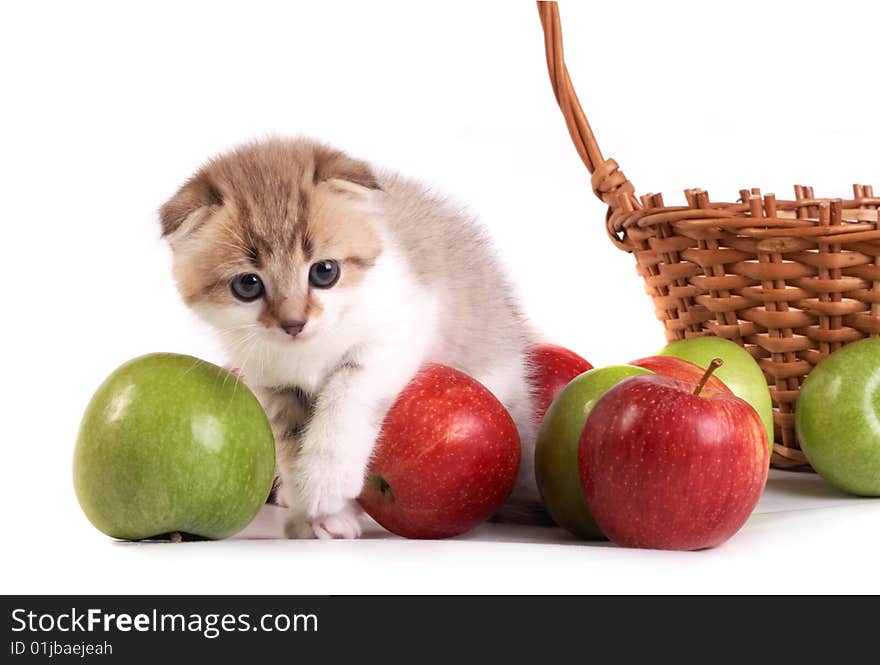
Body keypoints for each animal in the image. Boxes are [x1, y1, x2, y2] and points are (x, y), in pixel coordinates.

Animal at [161, 137, 540, 536]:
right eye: (247, 285)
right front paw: (315, 513)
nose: (294, 324)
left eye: (325, 272)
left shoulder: (397, 329)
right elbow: (291, 441)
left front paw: (325, 480)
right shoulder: (272, 383)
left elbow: (347, 393)